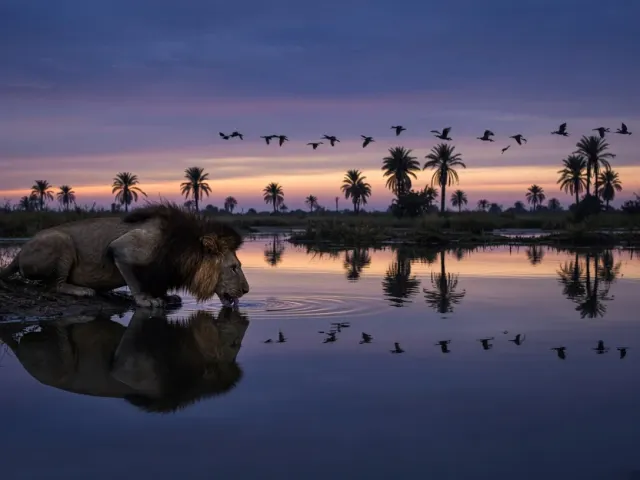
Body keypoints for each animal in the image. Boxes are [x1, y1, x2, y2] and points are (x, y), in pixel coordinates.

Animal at [0, 203, 250, 308]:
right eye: (234, 267)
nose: (247, 290)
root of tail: (20, 252)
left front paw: (166, 297)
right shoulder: (124, 248)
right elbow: (136, 280)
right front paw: (147, 300)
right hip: (61, 241)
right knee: (53, 285)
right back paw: (81, 290)